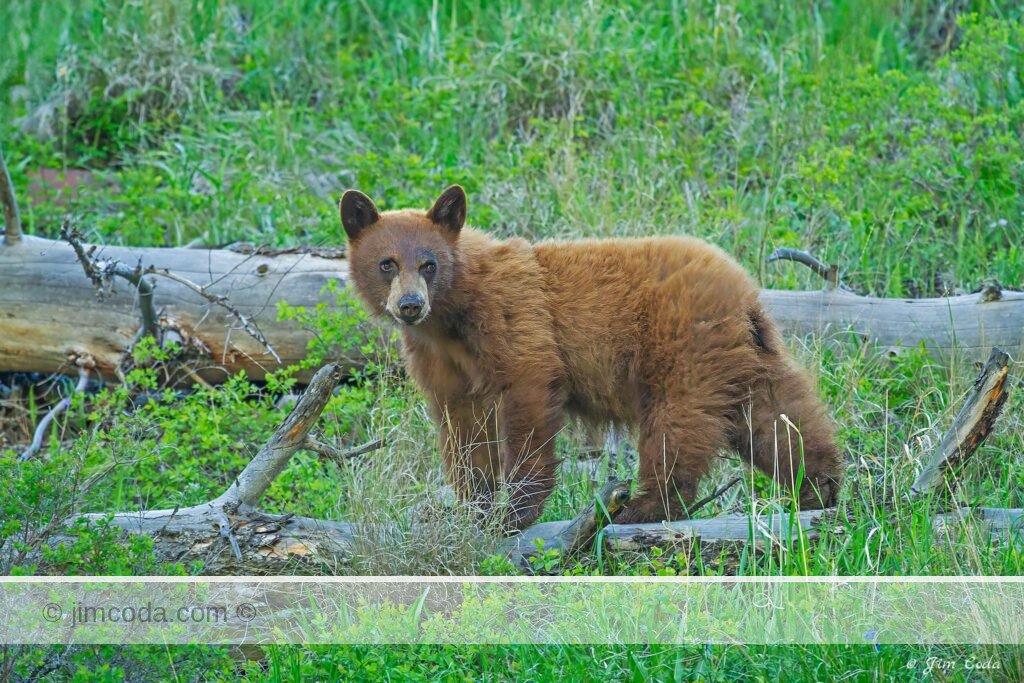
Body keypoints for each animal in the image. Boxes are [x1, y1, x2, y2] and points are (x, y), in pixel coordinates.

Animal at [340, 185, 842, 530]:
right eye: (386, 263)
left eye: (428, 264)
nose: (409, 305)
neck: (452, 317)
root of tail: (744, 291)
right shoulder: (441, 362)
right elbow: (463, 428)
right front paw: (474, 508)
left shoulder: (513, 319)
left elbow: (526, 393)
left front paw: (515, 512)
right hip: (746, 356)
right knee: (778, 417)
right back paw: (820, 486)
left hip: (680, 345)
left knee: (677, 423)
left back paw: (644, 505)